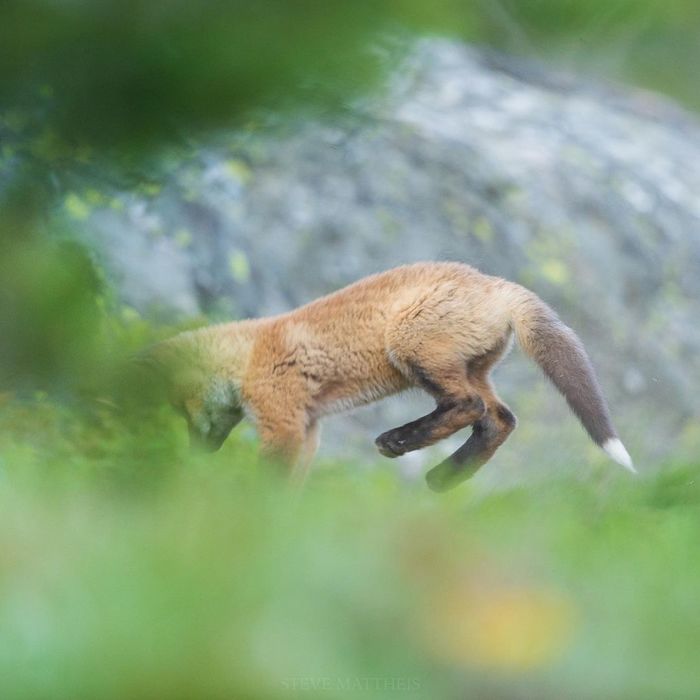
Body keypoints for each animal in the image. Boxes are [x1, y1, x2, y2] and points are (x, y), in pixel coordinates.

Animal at [144, 260, 636, 490]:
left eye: (183, 409)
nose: (196, 453)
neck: (250, 354)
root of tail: (495, 284)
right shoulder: (310, 427)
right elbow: (296, 482)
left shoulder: (282, 419)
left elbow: (270, 478)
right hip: (470, 368)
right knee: (499, 419)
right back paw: (444, 477)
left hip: (411, 349)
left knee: (469, 406)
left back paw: (399, 442)